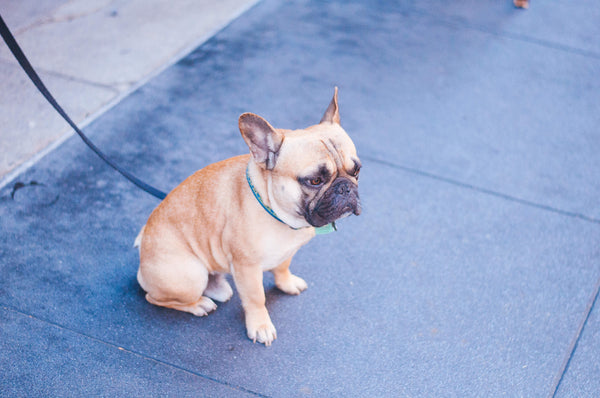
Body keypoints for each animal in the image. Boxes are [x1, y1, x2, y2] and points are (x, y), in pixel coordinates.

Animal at [136, 88, 360, 346]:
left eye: (357, 171)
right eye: (315, 180)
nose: (345, 188)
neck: (278, 214)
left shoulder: (286, 252)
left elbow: (282, 268)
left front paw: (287, 283)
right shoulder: (247, 268)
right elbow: (256, 299)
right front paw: (260, 326)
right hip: (190, 275)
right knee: (154, 298)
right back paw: (198, 304)